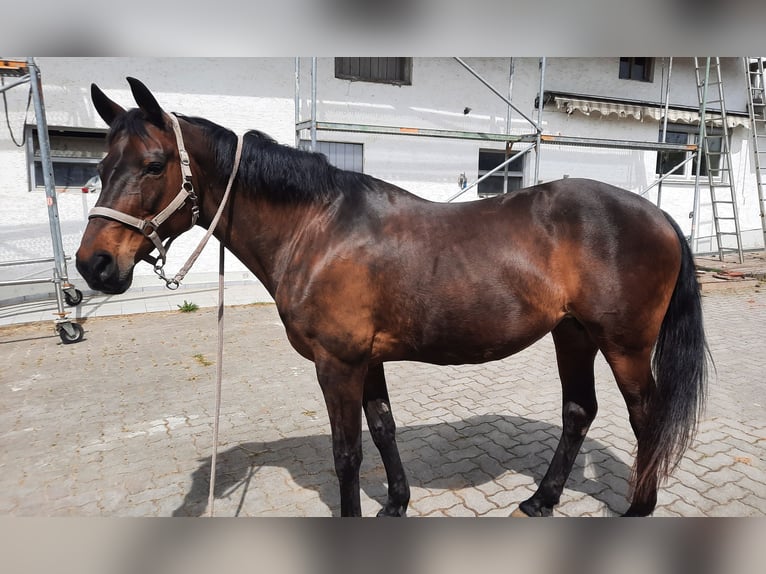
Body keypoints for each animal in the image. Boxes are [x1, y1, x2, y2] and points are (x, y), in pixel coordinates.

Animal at [75, 76, 712, 516]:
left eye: (154, 164)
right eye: (102, 165)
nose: (94, 264)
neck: (319, 228)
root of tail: (658, 215)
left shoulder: (337, 364)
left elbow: (347, 454)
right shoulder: (366, 360)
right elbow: (382, 428)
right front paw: (397, 502)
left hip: (625, 346)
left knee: (646, 418)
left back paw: (638, 507)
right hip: (572, 334)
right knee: (580, 411)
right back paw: (540, 500)